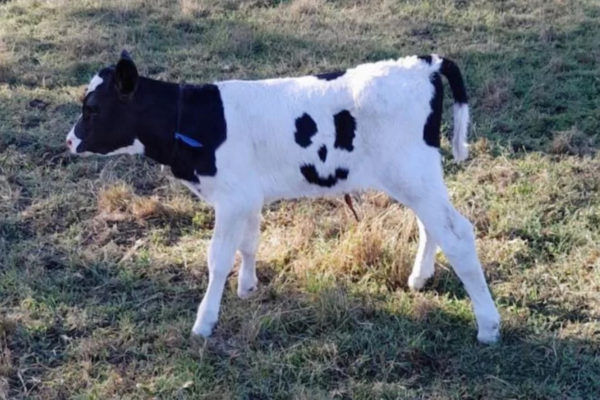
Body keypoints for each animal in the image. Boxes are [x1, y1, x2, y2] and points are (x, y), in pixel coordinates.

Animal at [65, 50, 500, 344]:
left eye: (93, 108)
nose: (69, 141)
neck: (195, 120)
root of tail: (425, 62)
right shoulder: (247, 196)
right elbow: (249, 243)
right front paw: (247, 287)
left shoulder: (231, 198)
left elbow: (217, 259)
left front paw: (204, 323)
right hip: (416, 178)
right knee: (434, 226)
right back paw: (419, 278)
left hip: (413, 174)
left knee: (458, 234)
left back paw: (488, 325)